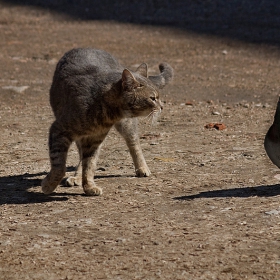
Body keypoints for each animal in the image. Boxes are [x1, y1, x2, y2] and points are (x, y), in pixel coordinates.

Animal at [41, 47, 173, 195]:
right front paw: (49, 185)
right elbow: (60, 165)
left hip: (126, 125)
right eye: (153, 98)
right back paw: (76, 177)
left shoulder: (94, 140)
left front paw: (88, 185)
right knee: (80, 155)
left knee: (134, 143)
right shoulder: (60, 129)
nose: (162, 106)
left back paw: (142, 168)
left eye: (158, 97)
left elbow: (90, 164)